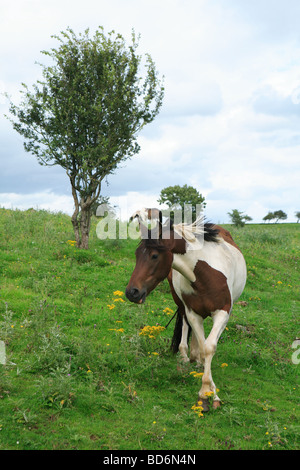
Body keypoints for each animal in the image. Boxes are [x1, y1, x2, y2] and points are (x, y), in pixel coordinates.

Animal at [126, 211, 246, 410]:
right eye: (137, 255)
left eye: (154, 256)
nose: (131, 292)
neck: (204, 274)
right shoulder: (192, 313)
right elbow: (202, 345)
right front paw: (207, 391)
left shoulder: (223, 312)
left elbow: (209, 347)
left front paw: (209, 393)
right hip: (182, 305)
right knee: (186, 327)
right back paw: (187, 356)